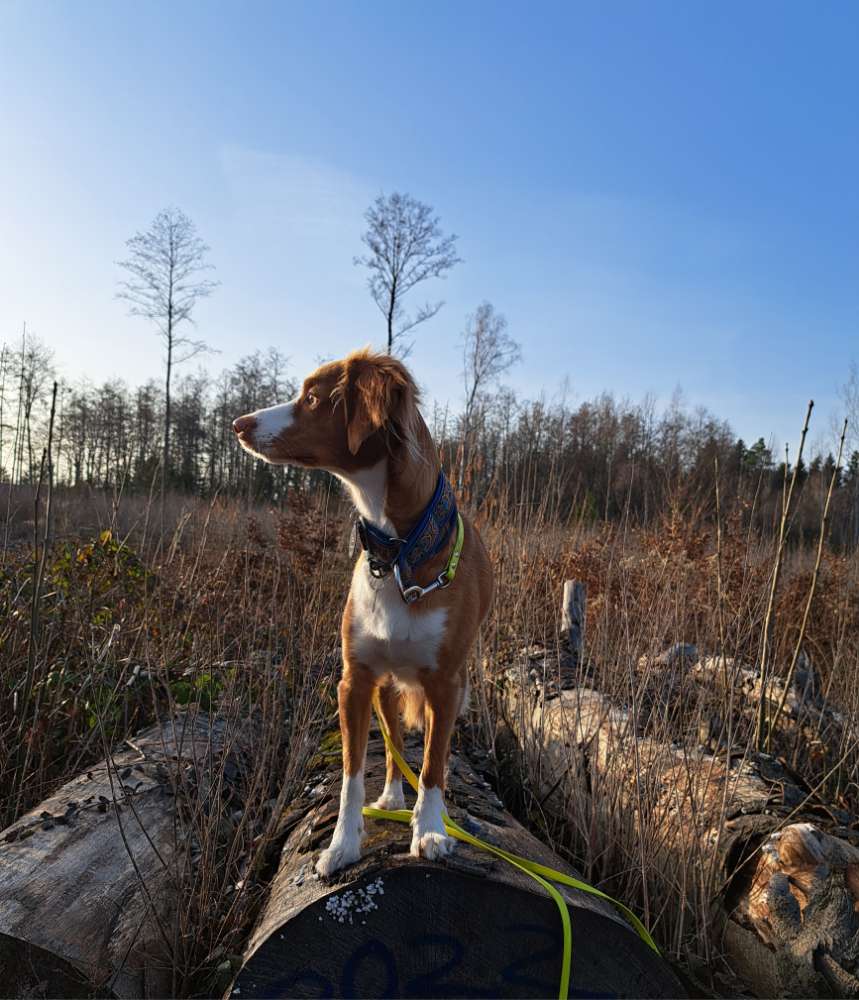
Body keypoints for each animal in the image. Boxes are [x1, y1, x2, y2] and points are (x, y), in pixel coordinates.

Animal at [232, 350, 494, 876]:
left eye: (313, 398)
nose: (238, 424)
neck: (397, 552)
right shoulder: (355, 681)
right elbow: (352, 775)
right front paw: (342, 845)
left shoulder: (446, 685)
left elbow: (433, 764)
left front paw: (430, 830)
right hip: (386, 687)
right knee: (393, 744)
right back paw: (392, 797)